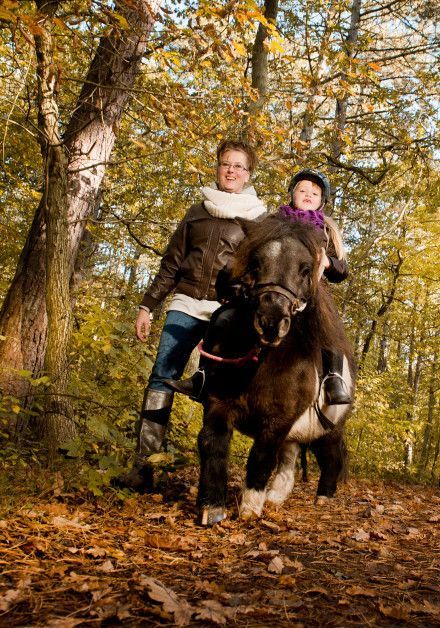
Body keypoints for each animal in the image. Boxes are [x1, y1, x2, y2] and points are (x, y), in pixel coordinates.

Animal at [198, 216, 356, 524]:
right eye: (255, 262)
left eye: (306, 268)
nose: (271, 321)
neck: (260, 361)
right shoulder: (218, 403)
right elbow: (213, 443)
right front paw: (213, 507)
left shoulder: (278, 421)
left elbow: (260, 457)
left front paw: (249, 508)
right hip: (298, 434)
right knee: (288, 463)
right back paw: (275, 498)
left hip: (329, 430)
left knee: (331, 458)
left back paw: (323, 498)